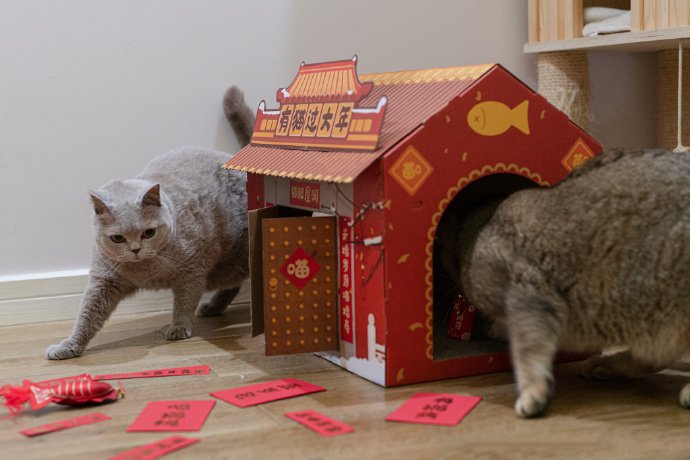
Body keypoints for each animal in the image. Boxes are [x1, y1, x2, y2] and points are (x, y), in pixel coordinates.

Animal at [45, 86, 255, 360]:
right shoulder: (104, 280)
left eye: (149, 233)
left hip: (233, 257)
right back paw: (212, 307)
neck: (146, 271)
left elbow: (184, 302)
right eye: (117, 238)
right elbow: (87, 315)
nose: (135, 249)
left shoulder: (192, 270)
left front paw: (178, 328)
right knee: (233, 286)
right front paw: (68, 346)